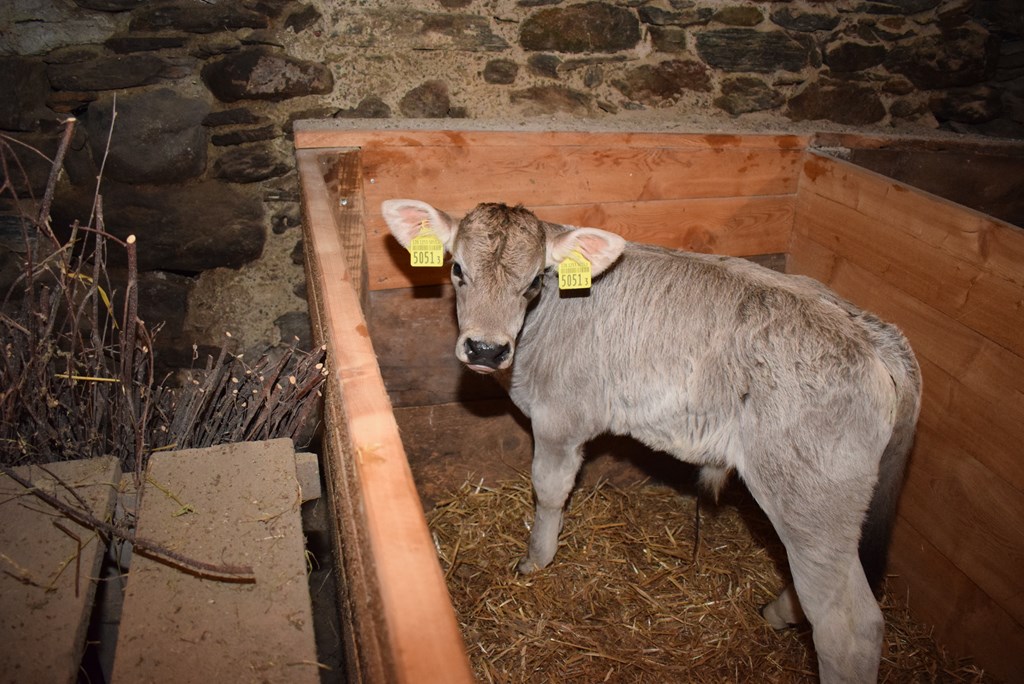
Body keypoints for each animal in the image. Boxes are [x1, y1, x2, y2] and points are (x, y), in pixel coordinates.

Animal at [382, 199, 922, 684]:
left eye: (534, 282)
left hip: (812, 498)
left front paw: (535, 560)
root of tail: (873, 333)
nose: (485, 349)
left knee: (849, 627)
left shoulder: (560, 417)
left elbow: (549, 492)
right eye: (457, 269)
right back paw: (777, 612)